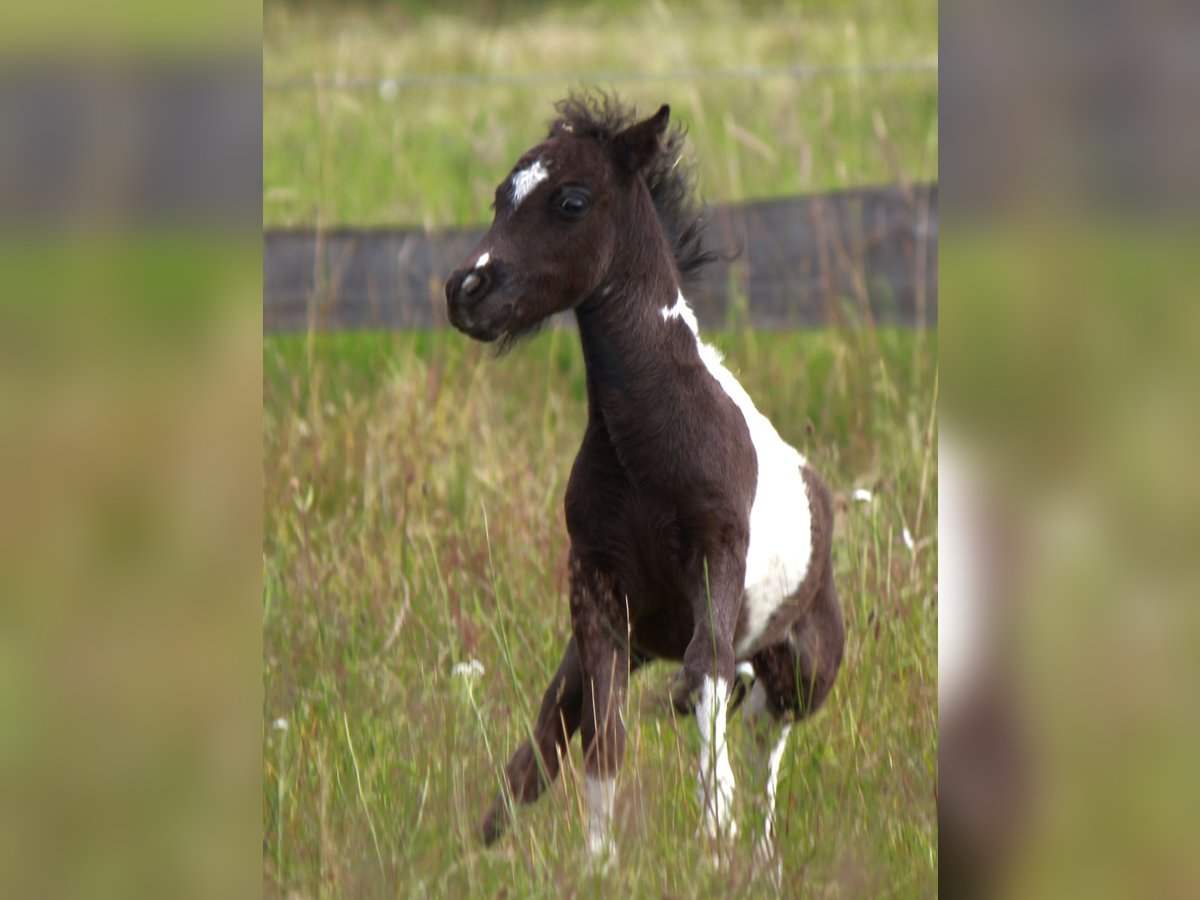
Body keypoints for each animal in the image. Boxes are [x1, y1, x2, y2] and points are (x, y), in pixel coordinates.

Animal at [444, 97, 844, 859]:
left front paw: (714, 835)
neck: (645, 449)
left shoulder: (717, 559)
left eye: (570, 201)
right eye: (501, 195)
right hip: (616, 649)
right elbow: (603, 736)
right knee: (544, 742)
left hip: (805, 669)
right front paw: (599, 862)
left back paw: (757, 856)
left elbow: (705, 684)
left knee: (765, 744)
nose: (465, 291)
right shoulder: (596, 590)